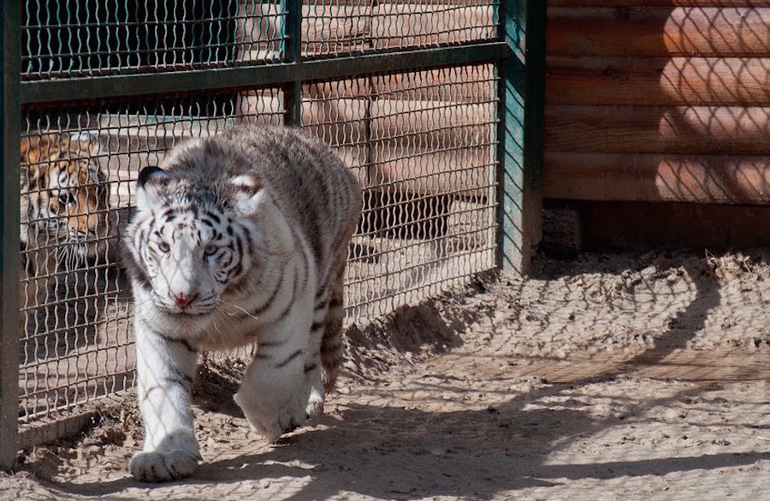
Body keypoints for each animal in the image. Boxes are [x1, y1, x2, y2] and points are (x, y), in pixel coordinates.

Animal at [123, 124, 364, 480]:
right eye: (164, 246)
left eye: (211, 250)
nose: (183, 297)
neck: (221, 308)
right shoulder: (158, 325)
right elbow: (163, 388)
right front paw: (165, 455)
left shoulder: (293, 301)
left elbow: (271, 375)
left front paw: (274, 421)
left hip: (321, 289)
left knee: (309, 359)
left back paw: (304, 403)